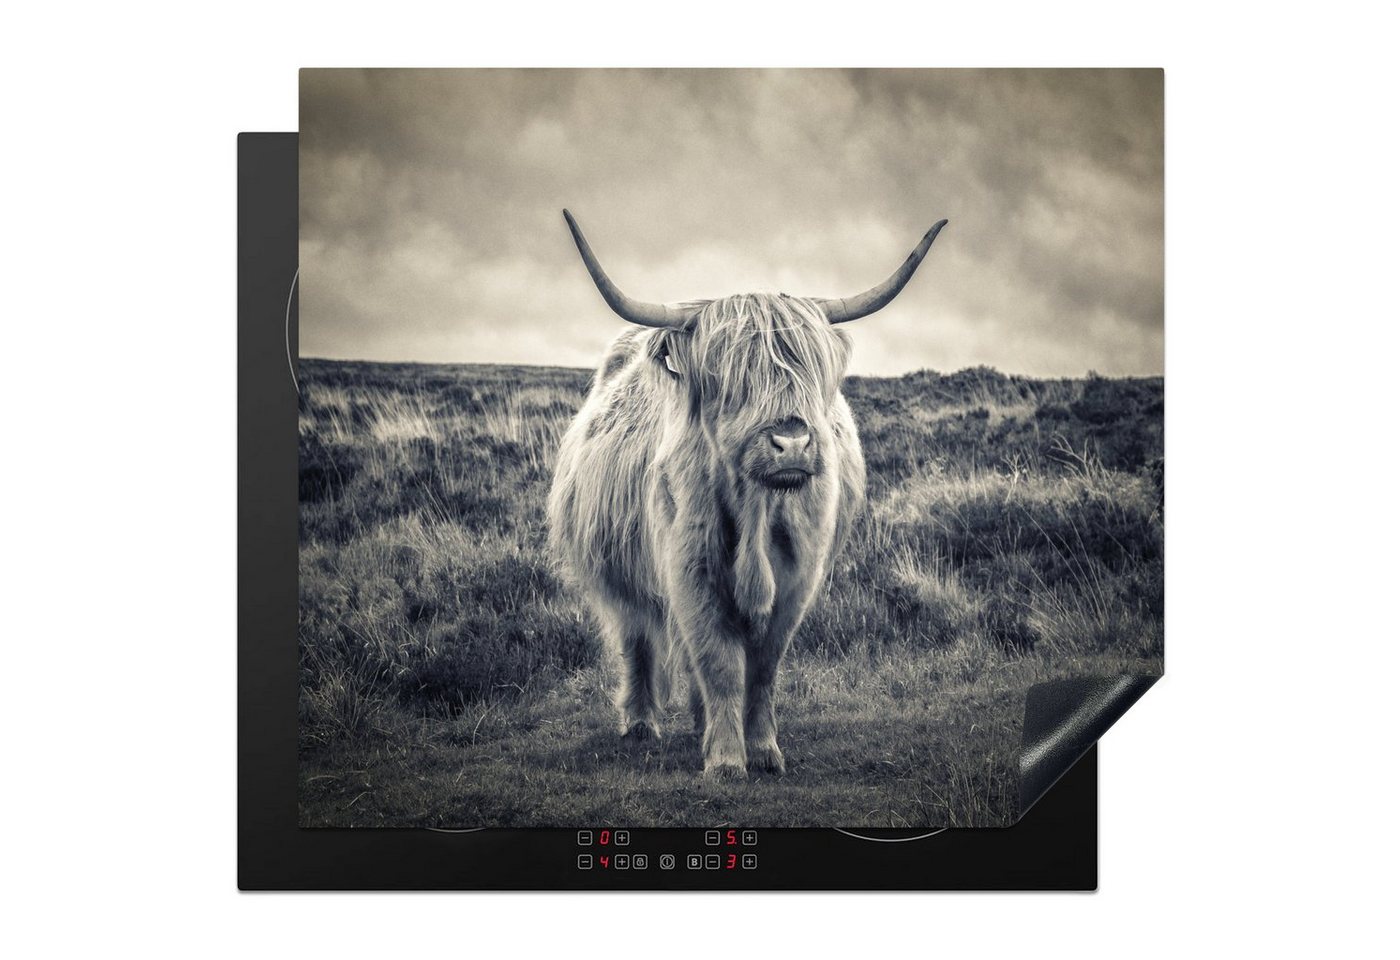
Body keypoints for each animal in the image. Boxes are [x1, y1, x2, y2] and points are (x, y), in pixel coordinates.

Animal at [547, 210, 947, 778]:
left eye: (810, 371)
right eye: (730, 379)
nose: (792, 442)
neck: (758, 511)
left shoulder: (798, 578)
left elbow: (761, 668)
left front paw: (761, 750)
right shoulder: (689, 571)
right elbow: (717, 661)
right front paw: (725, 760)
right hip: (619, 574)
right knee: (637, 638)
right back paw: (641, 723)